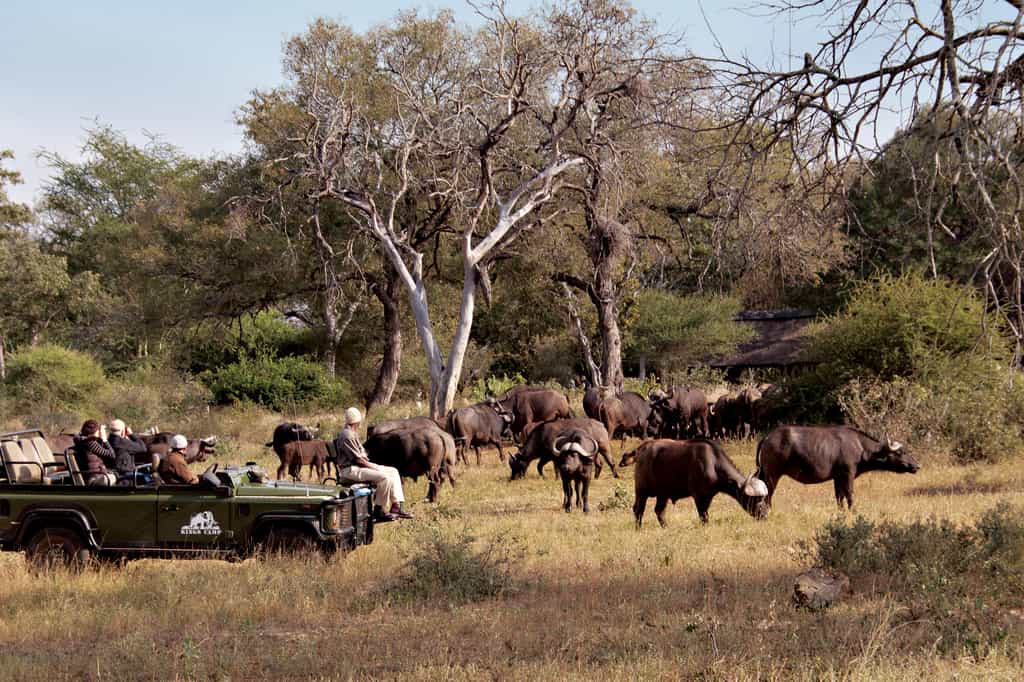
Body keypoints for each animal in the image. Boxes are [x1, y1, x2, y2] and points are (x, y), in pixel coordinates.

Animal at [619, 439, 769, 527]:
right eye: (755, 500)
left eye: (764, 498)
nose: (765, 515)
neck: (713, 463)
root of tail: (642, 449)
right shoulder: (698, 496)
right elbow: (703, 517)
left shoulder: (708, 497)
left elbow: (705, 515)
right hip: (641, 490)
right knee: (638, 509)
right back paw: (639, 528)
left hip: (663, 494)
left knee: (659, 511)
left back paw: (666, 527)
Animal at [755, 425, 920, 513]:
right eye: (900, 452)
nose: (917, 466)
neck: (860, 448)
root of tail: (768, 437)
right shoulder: (848, 474)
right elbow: (850, 495)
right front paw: (853, 511)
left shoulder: (837, 477)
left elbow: (839, 497)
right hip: (772, 475)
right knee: (768, 495)